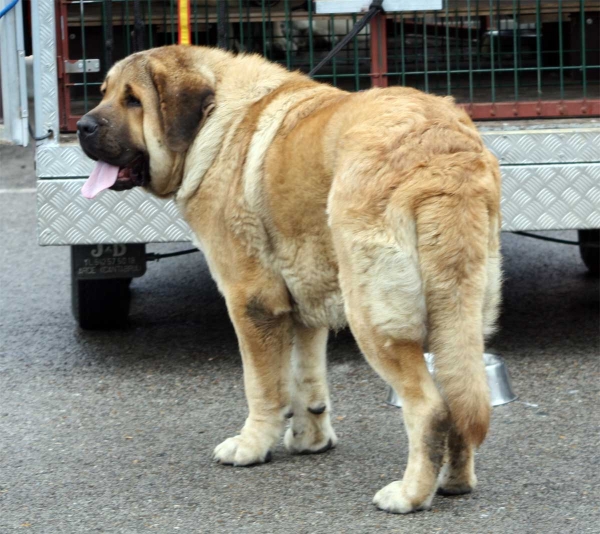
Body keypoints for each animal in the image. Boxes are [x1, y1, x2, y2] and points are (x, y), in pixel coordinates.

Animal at [77, 46, 504, 516]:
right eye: (104, 93)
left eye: (133, 100)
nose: (82, 126)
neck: (214, 119)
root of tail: (443, 158)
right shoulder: (304, 299)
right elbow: (306, 379)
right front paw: (310, 439)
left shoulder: (251, 302)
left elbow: (262, 387)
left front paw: (251, 446)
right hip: (460, 317)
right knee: (461, 395)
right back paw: (454, 481)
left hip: (373, 315)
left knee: (430, 408)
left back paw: (409, 495)